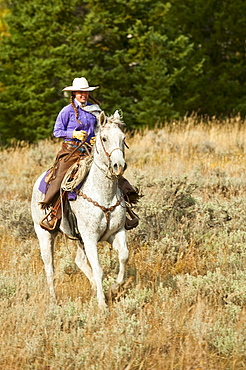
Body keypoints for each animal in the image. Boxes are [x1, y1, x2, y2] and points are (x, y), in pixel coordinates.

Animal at [30, 110, 129, 310]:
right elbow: (98, 269)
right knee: (49, 267)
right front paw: (102, 305)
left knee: (79, 261)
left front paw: (114, 289)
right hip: (44, 233)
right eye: (104, 138)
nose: (119, 166)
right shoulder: (90, 238)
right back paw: (53, 301)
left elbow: (123, 256)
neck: (103, 194)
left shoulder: (116, 232)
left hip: (79, 239)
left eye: (123, 138)